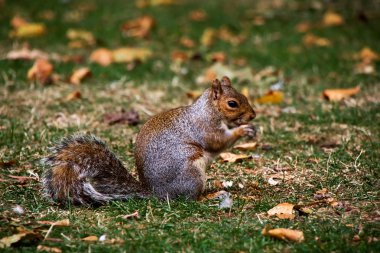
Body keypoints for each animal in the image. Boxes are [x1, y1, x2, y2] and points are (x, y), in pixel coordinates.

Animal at [40, 76, 255, 206]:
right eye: (232, 103)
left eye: (245, 96)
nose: (253, 115)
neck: (209, 110)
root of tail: (157, 193)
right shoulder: (206, 127)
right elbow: (218, 141)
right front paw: (243, 130)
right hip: (191, 174)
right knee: (190, 198)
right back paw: (209, 195)